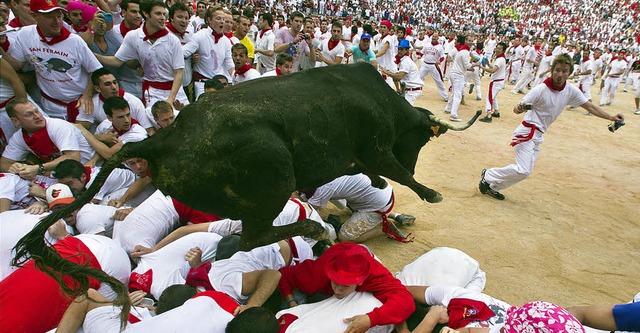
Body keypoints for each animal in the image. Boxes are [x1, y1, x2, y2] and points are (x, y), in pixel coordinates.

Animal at [12, 63, 480, 304]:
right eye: (421, 138)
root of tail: (163, 139)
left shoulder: (367, 155)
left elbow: (378, 172)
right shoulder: (378, 145)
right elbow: (397, 171)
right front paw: (429, 192)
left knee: (250, 234)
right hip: (273, 178)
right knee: (256, 234)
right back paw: (314, 229)